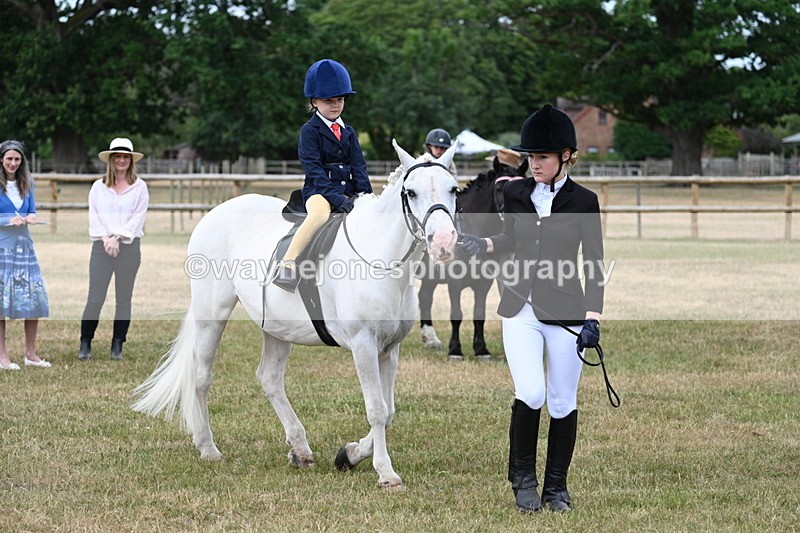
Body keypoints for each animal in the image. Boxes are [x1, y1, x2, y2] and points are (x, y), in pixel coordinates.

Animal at [132, 140, 460, 490]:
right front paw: (385, 473)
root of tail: (217, 212)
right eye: (411, 192)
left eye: (454, 189)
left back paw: (300, 449)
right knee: (202, 376)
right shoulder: (364, 346)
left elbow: (390, 410)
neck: (379, 255)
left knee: (269, 378)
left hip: (278, 328)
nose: (443, 242)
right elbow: (377, 410)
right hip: (212, 313)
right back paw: (208, 448)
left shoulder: (389, 349)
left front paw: (350, 454)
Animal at [417, 157, 528, 359]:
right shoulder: (454, 282)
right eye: (499, 189)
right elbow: (456, 314)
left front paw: (481, 349)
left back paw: (430, 339)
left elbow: (479, 314)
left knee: (425, 297)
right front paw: (455, 350)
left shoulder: (484, 282)